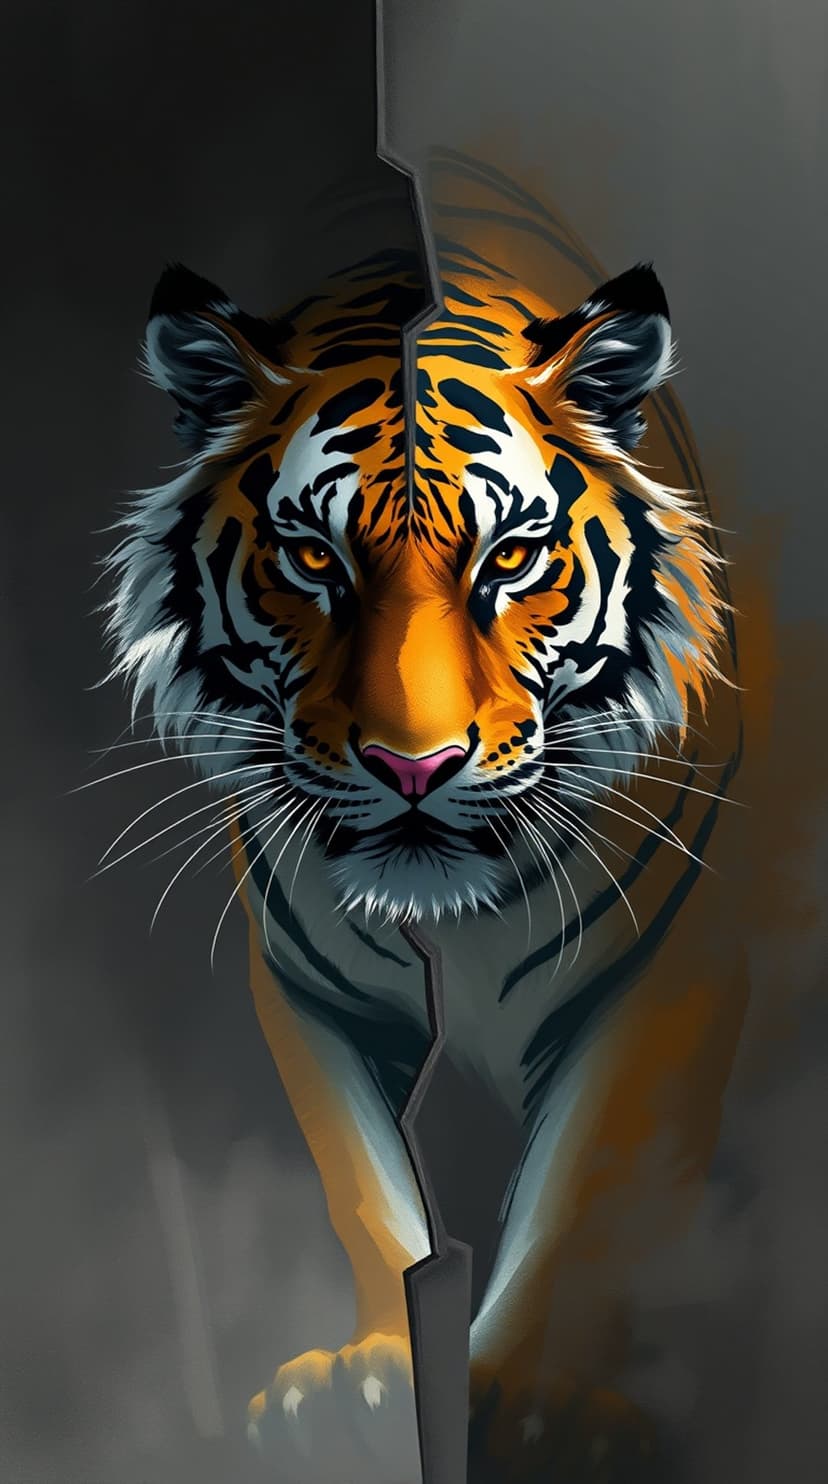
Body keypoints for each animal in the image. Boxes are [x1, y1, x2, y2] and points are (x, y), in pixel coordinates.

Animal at [103, 152, 746, 1482]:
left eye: (508, 558)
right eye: (312, 559)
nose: (416, 764)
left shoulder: (671, 963)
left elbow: (592, 1175)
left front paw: (542, 1397)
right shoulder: (311, 992)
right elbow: (368, 1190)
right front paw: (367, 1383)